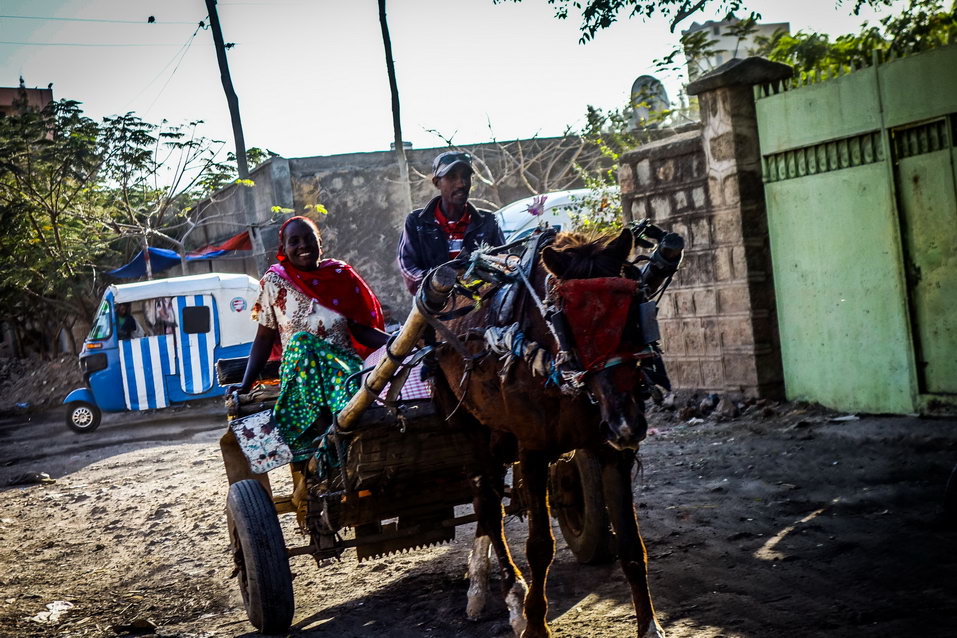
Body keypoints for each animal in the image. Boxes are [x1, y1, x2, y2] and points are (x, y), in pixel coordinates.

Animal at [430, 230, 668, 638]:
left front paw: (649, 627)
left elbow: (632, 545)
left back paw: (482, 583)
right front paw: (535, 625)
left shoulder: (612, 451)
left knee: (488, 504)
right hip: (468, 427)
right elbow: (540, 546)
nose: (628, 423)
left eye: (634, 313)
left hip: (499, 433)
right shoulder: (534, 451)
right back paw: (506, 595)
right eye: (567, 321)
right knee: (487, 506)